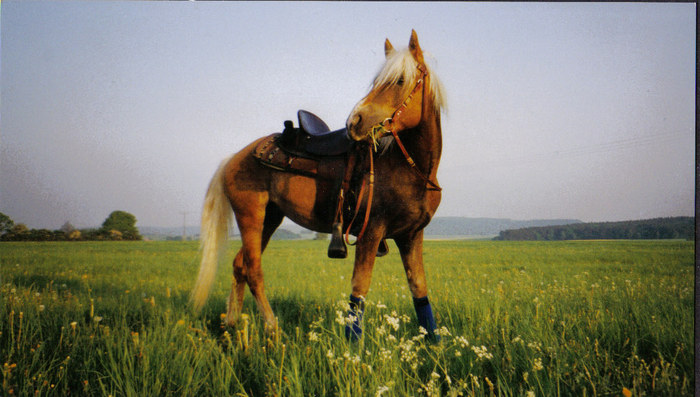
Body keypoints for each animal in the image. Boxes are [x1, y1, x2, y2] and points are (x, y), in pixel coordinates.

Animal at [189, 31, 446, 340]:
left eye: (399, 81)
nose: (354, 121)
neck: (410, 167)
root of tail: (234, 157)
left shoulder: (411, 235)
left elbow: (419, 289)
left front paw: (434, 344)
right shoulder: (372, 232)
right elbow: (359, 289)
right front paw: (352, 344)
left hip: (270, 218)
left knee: (240, 266)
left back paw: (231, 326)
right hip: (251, 216)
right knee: (253, 270)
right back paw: (273, 328)